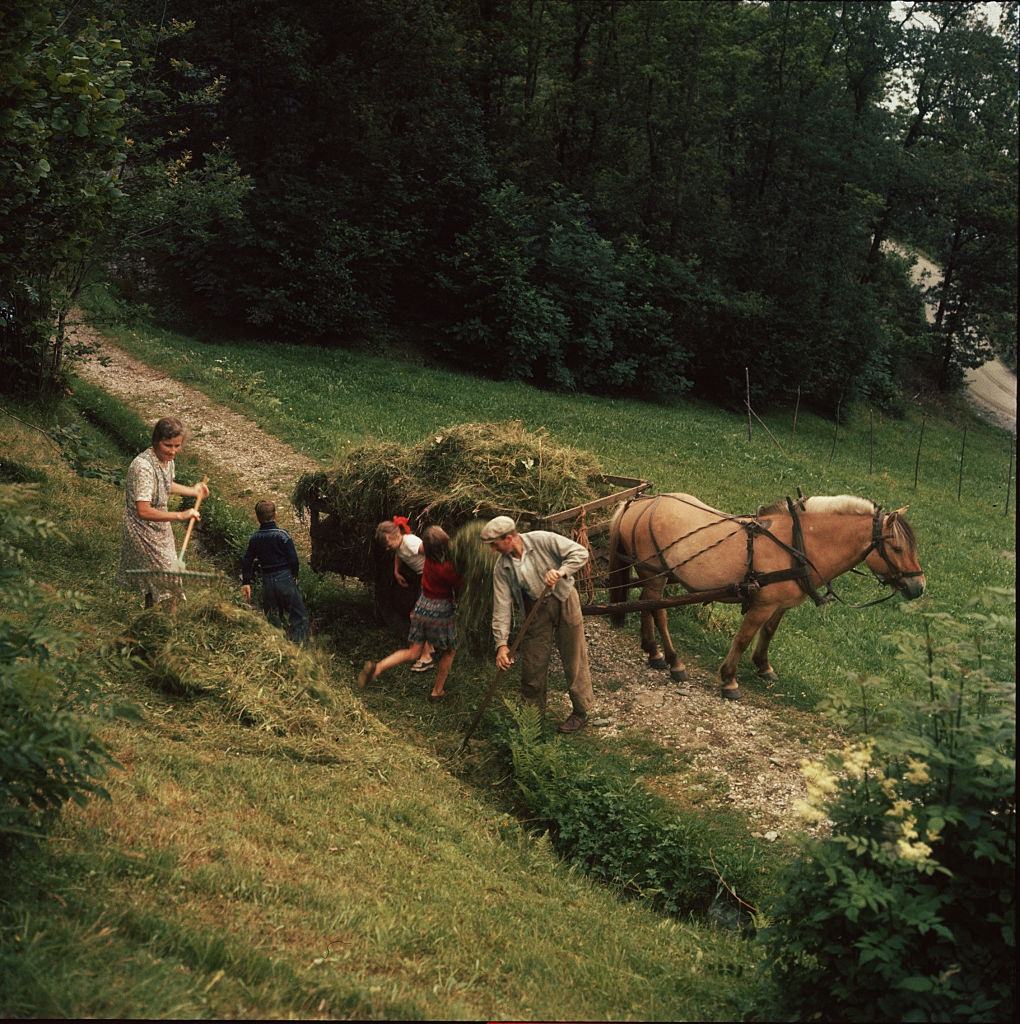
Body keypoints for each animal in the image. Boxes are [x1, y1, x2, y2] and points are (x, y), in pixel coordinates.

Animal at [606, 491, 925, 700]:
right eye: (897, 548)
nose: (919, 586)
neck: (798, 545)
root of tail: (640, 503)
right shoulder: (761, 603)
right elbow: (744, 637)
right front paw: (729, 679)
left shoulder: (780, 604)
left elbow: (769, 631)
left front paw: (763, 666)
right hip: (656, 572)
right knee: (658, 611)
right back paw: (674, 661)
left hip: (650, 575)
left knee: (645, 605)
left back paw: (654, 652)